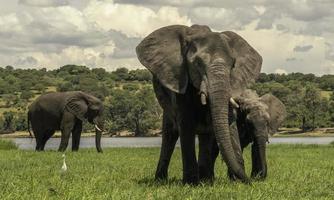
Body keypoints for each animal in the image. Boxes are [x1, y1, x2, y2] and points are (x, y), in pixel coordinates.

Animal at [136, 24, 264, 184]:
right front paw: (190, 183)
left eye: (233, 65)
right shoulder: (180, 79)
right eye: (197, 63)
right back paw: (162, 180)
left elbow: (229, 121)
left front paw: (235, 182)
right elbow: (186, 123)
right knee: (170, 135)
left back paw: (206, 180)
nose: (251, 181)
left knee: (205, 135)